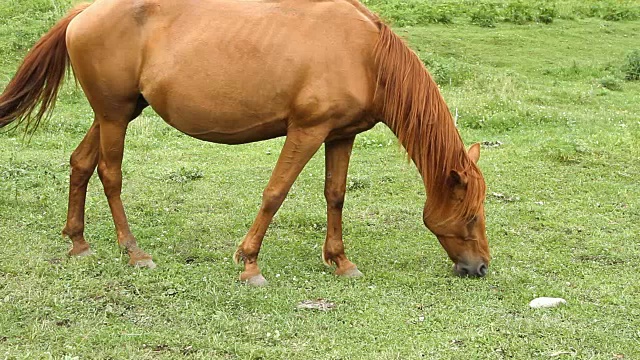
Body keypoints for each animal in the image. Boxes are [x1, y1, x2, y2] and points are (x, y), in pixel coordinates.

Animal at [0, 0, 490, 286]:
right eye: (470, 216)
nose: (481, 267)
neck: (365, 55)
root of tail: (84, 11)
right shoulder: (306, 132)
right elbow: (275, 193)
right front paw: (249, 262)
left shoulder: (340, 135)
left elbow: (335, 195)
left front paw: (340, 261)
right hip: (115, 116)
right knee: (109, 173)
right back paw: (134, 252)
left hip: (115, 113)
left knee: (81, 163)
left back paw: (79, 243)